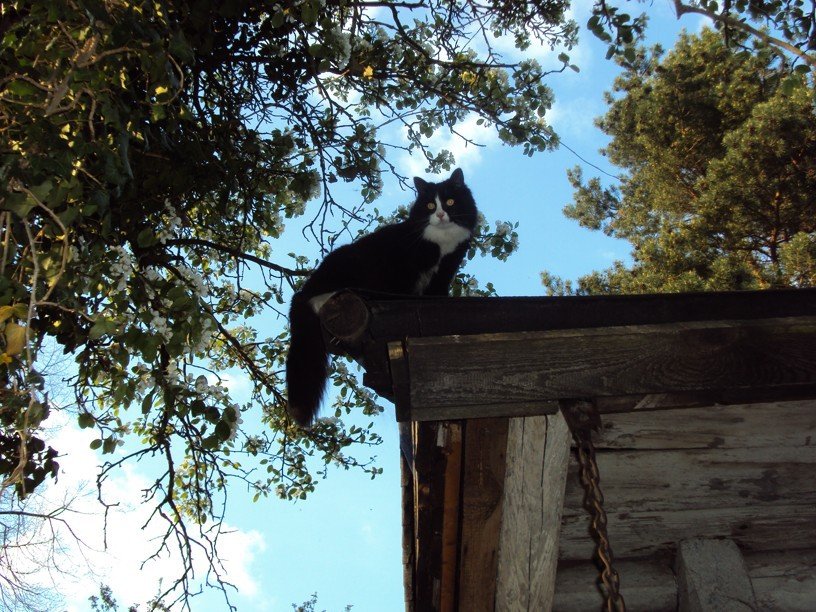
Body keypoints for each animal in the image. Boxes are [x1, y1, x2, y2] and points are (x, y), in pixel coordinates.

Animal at [286, 167, 478, 426]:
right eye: (429, 205)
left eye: (449, 202)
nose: (439, 214)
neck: (441, 242)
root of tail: (300, 295)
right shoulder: (402, 267)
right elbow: (401, 290)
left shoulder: (445, 271)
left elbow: (436, 293)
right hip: (347, 262)